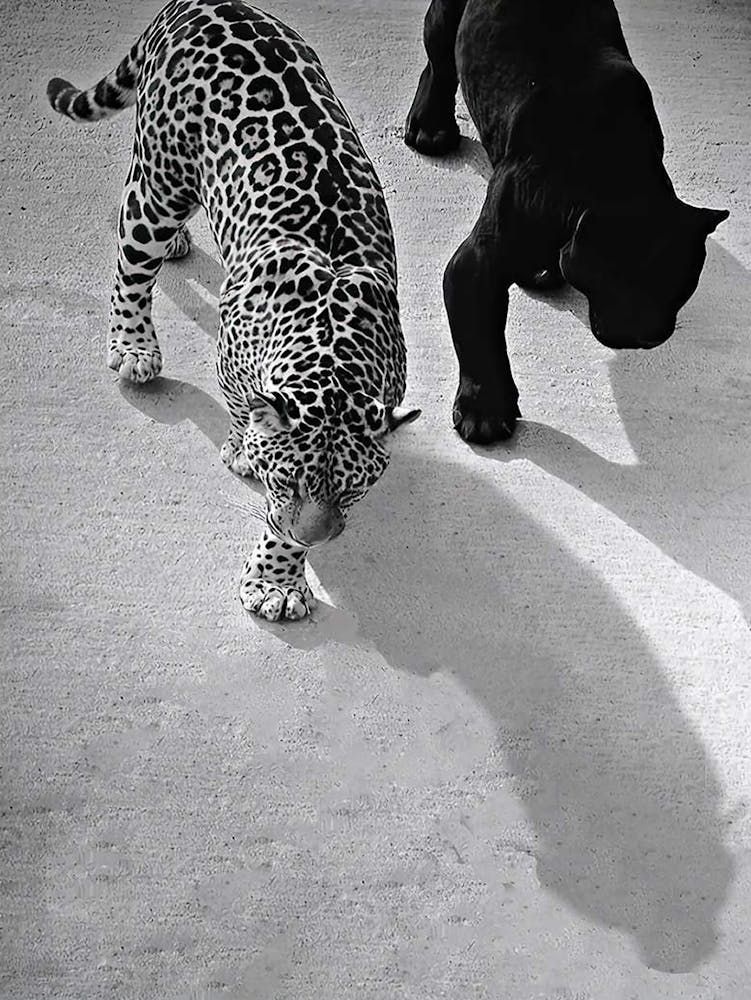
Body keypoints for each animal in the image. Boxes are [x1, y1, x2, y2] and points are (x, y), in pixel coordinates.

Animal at [47, 0, 420, 622]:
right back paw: (134, 345)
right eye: (289, 481)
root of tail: (203, 5)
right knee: (132, 258)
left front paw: (280, 575)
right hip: (159, 180)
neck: (334, 348)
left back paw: (178, 245)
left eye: (351, 489)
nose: (317, 537)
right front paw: (246, 456)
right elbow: (247, 418)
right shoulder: (234, 362)